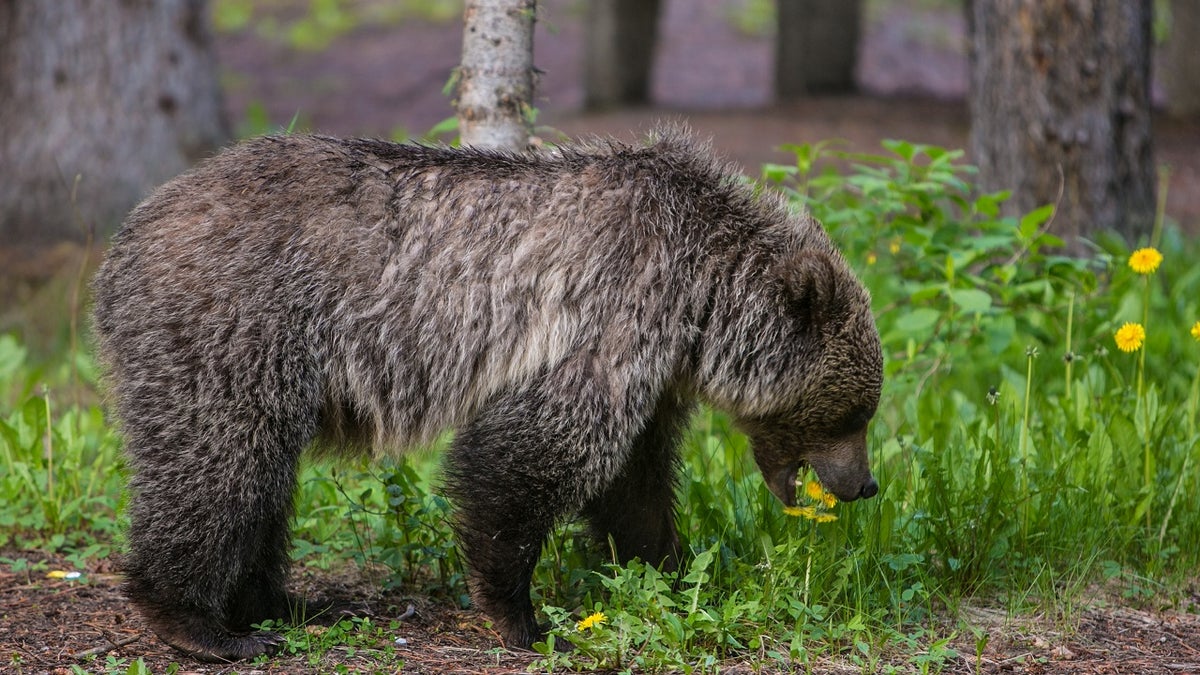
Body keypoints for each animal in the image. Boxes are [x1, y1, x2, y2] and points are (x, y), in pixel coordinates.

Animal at [91, 124, 883, 658]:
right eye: (854, 411)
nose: (866, 484)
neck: (703, 300)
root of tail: (129, 232)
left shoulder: (652, 375)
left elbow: (634, 483)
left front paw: (672, 567)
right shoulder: (608, 316)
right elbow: (527, 456)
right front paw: (522, 616)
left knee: (261, 480)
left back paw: (280, 603)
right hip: (235, 331)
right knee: (217, 464)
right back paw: (202, 624)